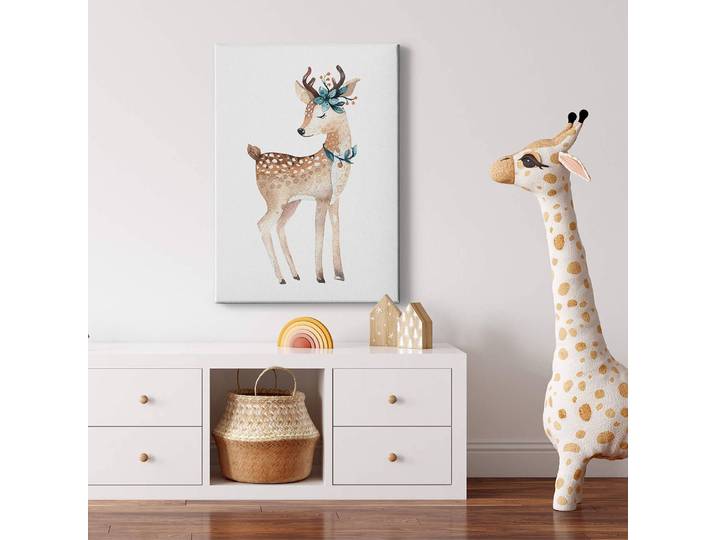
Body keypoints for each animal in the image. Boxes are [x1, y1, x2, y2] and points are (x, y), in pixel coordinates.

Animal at [247, 65, 360, 284]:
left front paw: (340, 275)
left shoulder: (335, 199)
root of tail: (256, 156)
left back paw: (295, 275)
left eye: (322, 114)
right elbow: (319, 232)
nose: (300, 130)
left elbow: (336, 229)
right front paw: (320, 276)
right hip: (275, 200)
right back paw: (281, 278)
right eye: (306, 111)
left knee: (279, 227)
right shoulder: (322, 197)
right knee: (262, 225)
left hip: (291, 203)